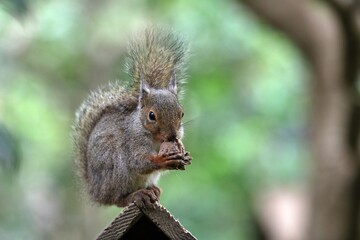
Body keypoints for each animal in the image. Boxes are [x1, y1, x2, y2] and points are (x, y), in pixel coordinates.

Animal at [71, 27, 193, 208]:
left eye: (181, 113)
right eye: (151, 116)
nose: (172, 136)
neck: (155, 138)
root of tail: (96, 192)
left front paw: (183, 153)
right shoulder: (133, 140)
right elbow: (138, 162)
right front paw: (163, 159)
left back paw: (153, 190)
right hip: (115, 169)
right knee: (117, 199)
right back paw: (137, 195)